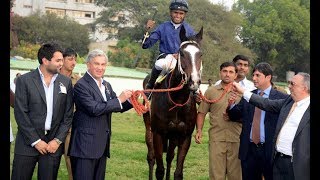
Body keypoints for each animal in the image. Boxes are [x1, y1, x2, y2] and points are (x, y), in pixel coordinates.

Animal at [142, 25, 202, 180]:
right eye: (182, 53)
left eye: (200, 54)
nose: (194, 81)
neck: (177, 100)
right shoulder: (158, 134)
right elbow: (159, 170)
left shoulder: (184, 136)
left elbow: (178, 172)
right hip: (149, 127)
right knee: (151, 157)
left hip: (173, 136)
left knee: (169, 157)